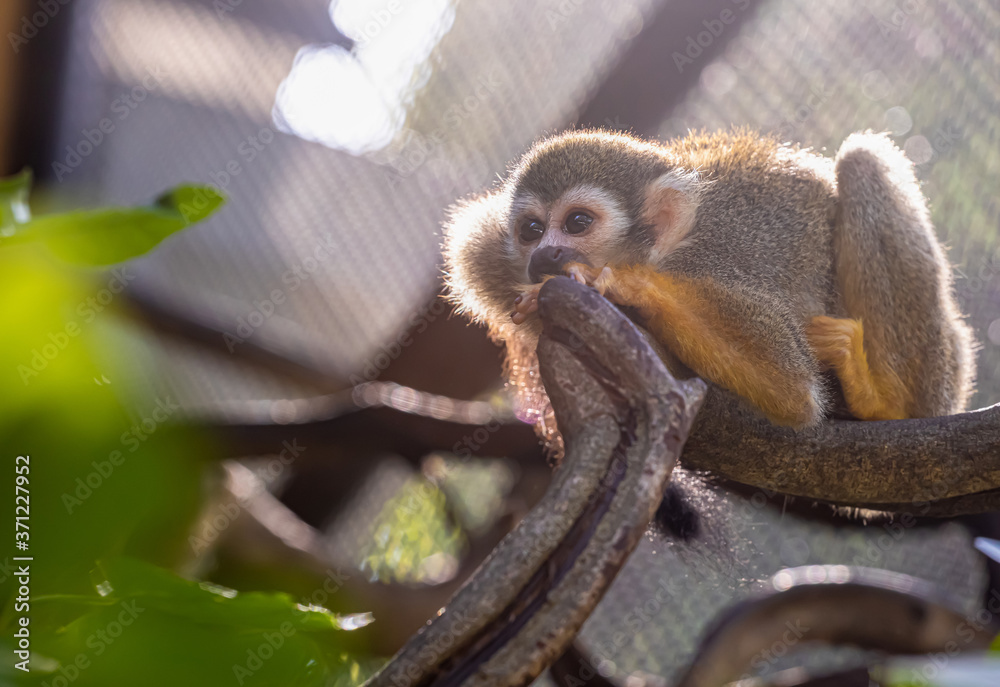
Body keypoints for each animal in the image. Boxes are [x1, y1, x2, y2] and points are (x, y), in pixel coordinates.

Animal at [442, 128, 975, 442]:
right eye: (531, 230)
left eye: (576, 223)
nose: (543, 255)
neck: (667, 252)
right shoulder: (490, 255)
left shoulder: (712, 265)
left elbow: (794, 392)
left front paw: (624, 285)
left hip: (942, 366)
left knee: (862, 164)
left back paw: (882, 401)